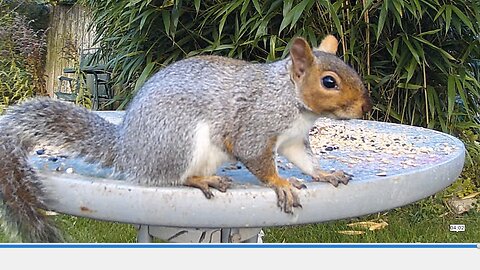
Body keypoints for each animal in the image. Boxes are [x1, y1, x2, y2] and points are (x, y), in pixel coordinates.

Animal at [0, 34, 372, 242]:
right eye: (329, 82)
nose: (365, 106)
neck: (292, 100)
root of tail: (128, 149)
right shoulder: (256, 127)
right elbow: (258, 158)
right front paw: (280, 183)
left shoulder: (293, 140)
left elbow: (306, 160)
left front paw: (326, 173)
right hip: (180, 139)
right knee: (171, 177)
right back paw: (201, 180)